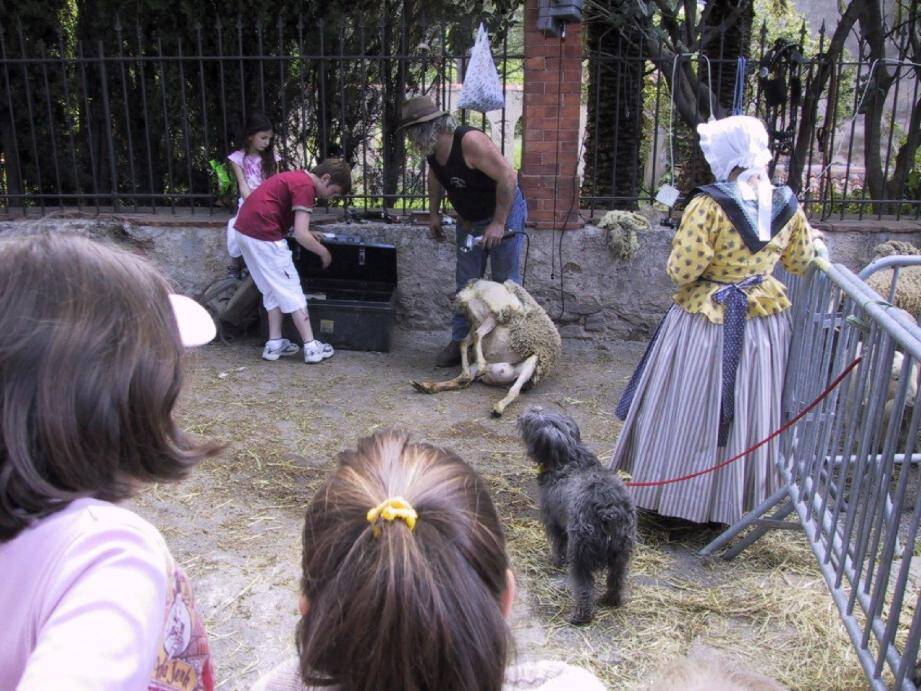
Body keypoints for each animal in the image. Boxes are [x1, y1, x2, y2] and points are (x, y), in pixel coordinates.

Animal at [516, 408, 640, 624]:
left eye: (530, 421)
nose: (522, 414)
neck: (569, 457)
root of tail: (608, 510)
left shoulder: (554, 523)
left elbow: (558, 546)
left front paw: (555, 562)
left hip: (581, 554)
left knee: (584, 590)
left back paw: (580, 616)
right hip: (621, 555)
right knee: (616, 581)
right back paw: (610, 600)